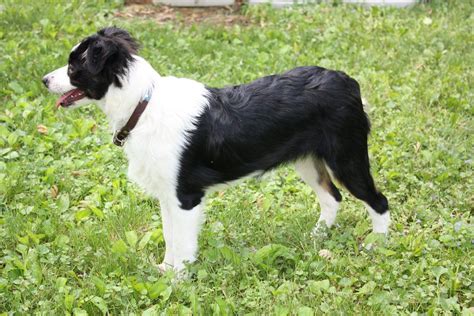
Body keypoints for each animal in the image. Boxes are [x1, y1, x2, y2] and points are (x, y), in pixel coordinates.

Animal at [43, 27, 388, 272]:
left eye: (74, 66)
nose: (44, 79)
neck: (143, 104)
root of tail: (347, 82)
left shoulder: (186, 196)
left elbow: (183, 244)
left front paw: (178, 281)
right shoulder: (168, 195)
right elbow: (170, 237)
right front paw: (165, 271)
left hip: (347, 158)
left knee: (378, 201)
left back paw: (377, 244)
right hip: (307, 161)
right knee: (332, 197)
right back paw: (317, 236)